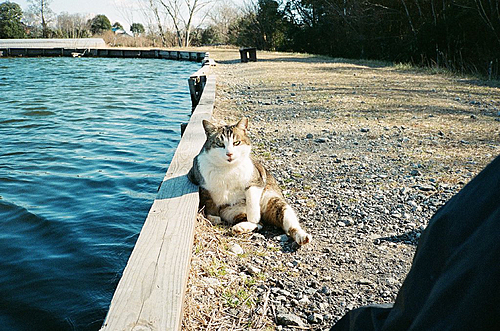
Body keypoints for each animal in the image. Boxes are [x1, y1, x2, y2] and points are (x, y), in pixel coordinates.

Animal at [188, 117, 310, 246]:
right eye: (220, 144)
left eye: (236, 143)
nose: (229, 154)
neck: (228, 168)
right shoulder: (199, 181)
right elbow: (209, 203)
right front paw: (213, 217)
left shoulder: (257, 178)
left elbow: (251, 194)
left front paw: (254, 215)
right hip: (231, 211)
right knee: (260, 224)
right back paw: (240, 227)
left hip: (273, 200)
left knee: (283, 217)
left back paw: (301, 236)